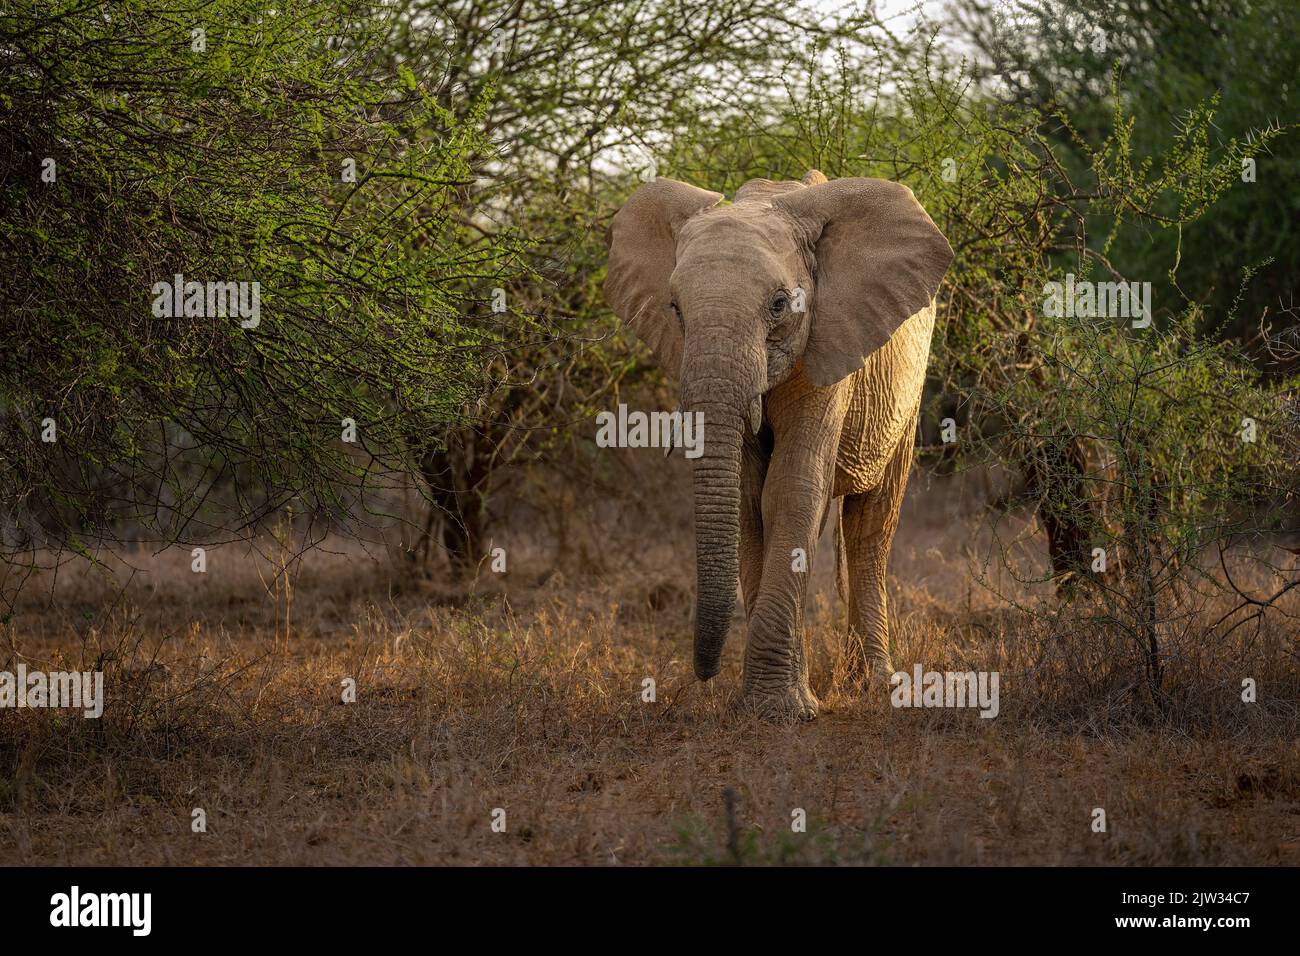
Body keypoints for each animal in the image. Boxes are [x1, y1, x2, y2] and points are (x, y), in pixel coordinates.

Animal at [604, 169, 953, 720]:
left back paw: (874, 684)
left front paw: (782, 711)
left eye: (778, 306)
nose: (705, 676)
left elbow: (791, 489)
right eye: (675, 309)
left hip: (909, 385)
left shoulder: (826, 338)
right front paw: (771, 704)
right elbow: (749, 501)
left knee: (871, 523)